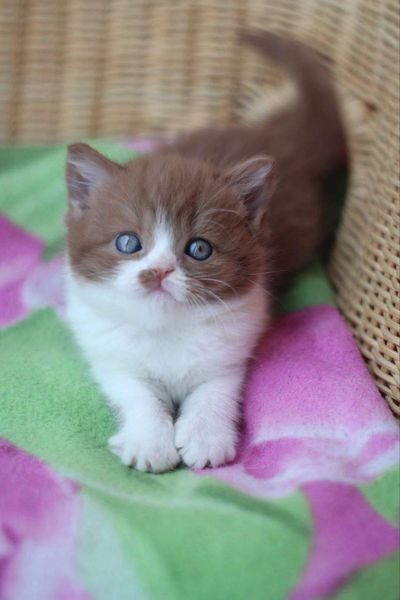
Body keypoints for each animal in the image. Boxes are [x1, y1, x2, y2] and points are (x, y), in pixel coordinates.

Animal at [64, 32, 346, 474]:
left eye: (199, 248)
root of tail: (272, 136)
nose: (159, 271)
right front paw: (149, 441)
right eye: (128, 243)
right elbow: (136, 394)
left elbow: (215, 392)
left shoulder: (231, 348)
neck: (166, 326)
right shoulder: (110, 355)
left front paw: (206, 437)